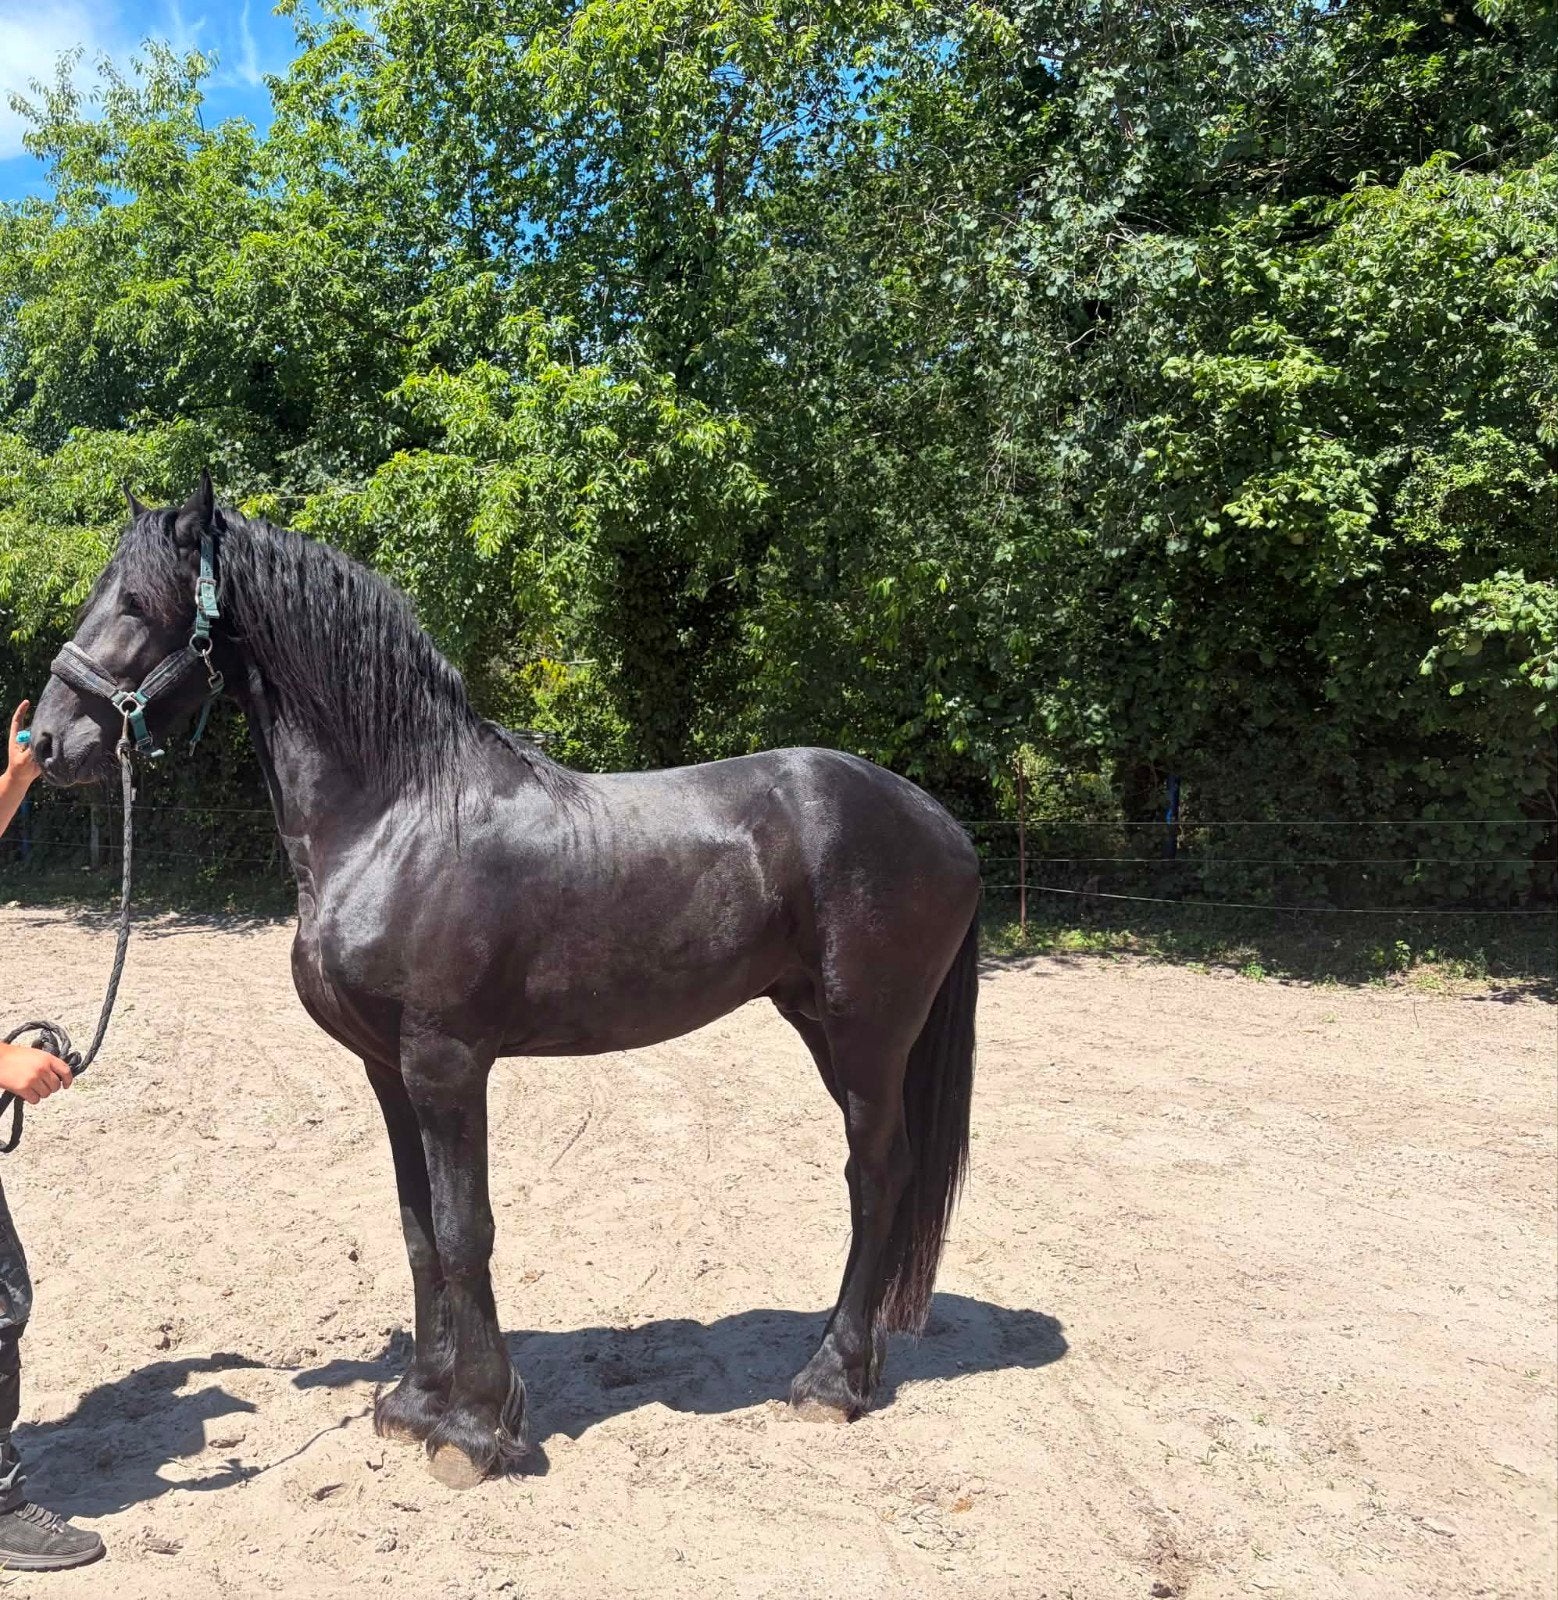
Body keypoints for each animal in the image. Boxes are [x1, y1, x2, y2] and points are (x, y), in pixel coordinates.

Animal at [30, 473, 981, 1489]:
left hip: (868, 1030)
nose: (44, 742)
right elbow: (418, 1231)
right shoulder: (388, 1069)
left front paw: (475, 1428)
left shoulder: (447, 1063)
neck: (396, 815)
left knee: (875, 1171)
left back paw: (830, 1381)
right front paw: (416, 1401)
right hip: (820, 1024)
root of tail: (942, 823)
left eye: (137, 603)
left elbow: (464, 1228)